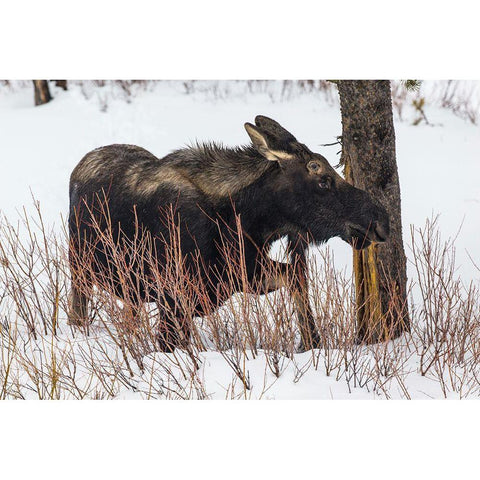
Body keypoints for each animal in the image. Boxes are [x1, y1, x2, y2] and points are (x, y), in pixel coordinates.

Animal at [68, 114, 390, 350]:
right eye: (321, 178)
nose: (381, 220)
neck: (242, 219)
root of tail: (81, 164)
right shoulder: (173, 295)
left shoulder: (244, 270)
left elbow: (295, 274)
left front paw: (310, 341)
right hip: (79, 267)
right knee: (78, 308)